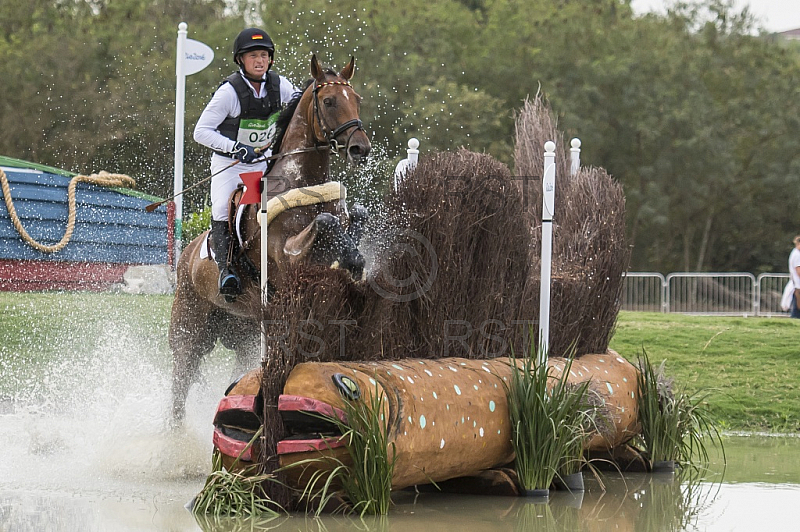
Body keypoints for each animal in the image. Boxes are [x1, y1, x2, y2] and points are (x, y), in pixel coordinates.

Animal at [170, 53, 370, 420]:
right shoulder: (288, 255)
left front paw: (357, 262)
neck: (304, 183)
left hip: (245, 332)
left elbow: (354, 218)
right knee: (179, 384)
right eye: (329, 101)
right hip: (189, 330)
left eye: (357, 99)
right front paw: (352, 259)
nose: (360, 148)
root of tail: (187, 254)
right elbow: (323, 222)